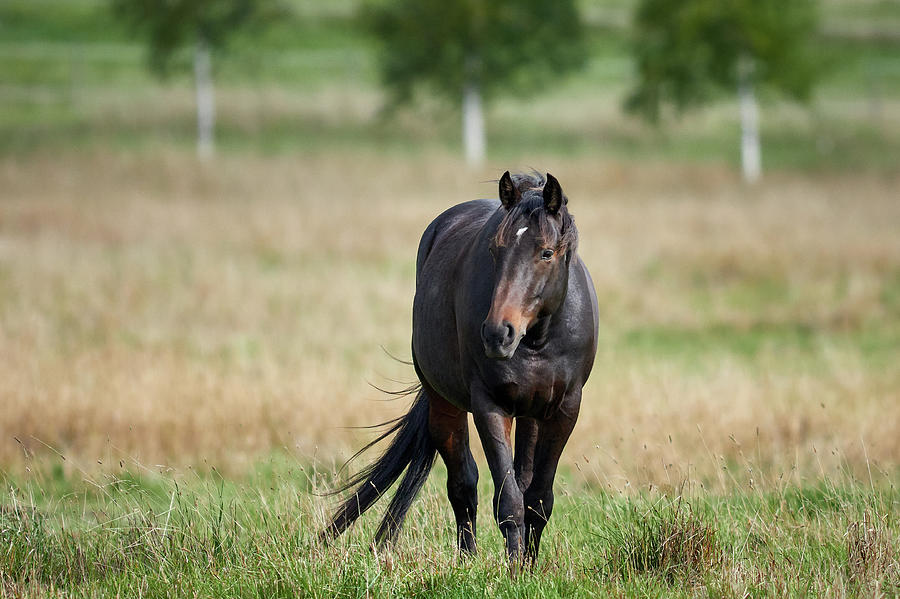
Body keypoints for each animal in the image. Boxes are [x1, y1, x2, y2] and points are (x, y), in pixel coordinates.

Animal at [324, 170, 596, 568]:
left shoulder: (565, 409)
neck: (537, 341)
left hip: (530, 413)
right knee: (462, 483)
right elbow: (508, 501)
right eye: (495, 250)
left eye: (546, 252)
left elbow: (538, 499)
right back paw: (467, 560)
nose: (498, 333)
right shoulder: (489, 406)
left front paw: (529, 568)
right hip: (444, 402)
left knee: (520, 479)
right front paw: (513, 571)